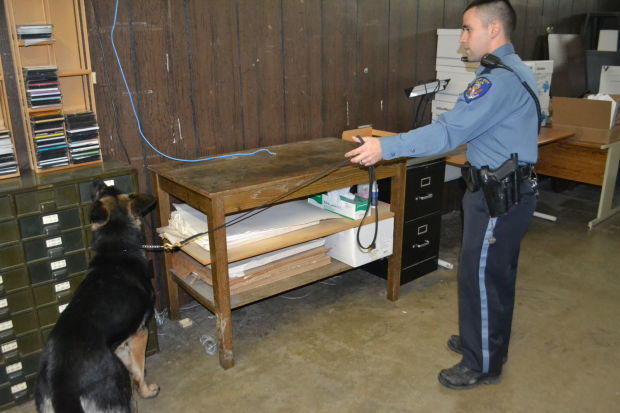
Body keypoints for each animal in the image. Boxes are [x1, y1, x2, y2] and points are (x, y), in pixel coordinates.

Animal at [34, 180, 161, 412]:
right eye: (101, 191)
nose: (97, 182)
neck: (117, 248)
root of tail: (60, 381)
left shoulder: (120, 343)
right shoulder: (140, 333)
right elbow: (138, 368)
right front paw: (146, 390)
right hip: (116, 388)